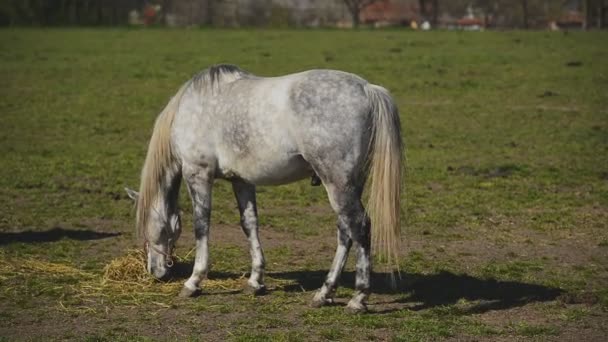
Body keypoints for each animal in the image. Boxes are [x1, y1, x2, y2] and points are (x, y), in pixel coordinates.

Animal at [135, 64, 402, 312]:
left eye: (147, 228)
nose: (155, 272)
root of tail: (366, 89)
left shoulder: (198, 174)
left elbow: (202, 227)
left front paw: (193, 282)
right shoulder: (241, 180)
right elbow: (250, 224)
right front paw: (255, 281)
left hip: (338, 184)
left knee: (360, 227)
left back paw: (358, 298)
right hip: (350, 185)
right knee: (346, 232)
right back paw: (324, 293)